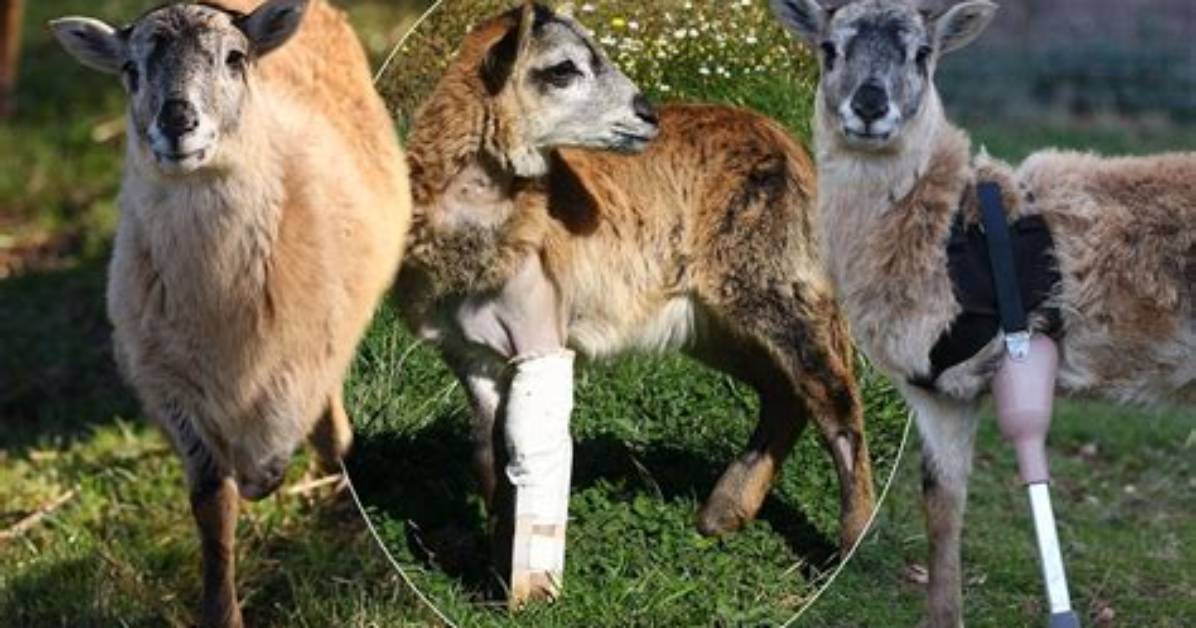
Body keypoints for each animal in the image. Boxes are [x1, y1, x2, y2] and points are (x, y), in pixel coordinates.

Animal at [50, 1, 409, 625]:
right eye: (130, 71)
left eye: (235, 59)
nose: (176, 120)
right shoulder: (169, 387)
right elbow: (211, 504)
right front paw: (221, 611)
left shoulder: (300, 363)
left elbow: (278, 450)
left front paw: (279, 478)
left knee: (327, 417)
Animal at [397, 2, 875, 605]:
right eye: (563, 70)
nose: (647, 114)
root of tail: (789, 143)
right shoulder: (470, 352)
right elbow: (491, 454)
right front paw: (497, 571)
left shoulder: (539, 329)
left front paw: (530, 590)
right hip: (710, 320)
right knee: (785, 391)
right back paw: (722, 515)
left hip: (777, 279)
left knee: (835, 397)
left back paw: (852, 543)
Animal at [771, 0, 1196, 624]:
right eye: (829, 48)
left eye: (921, 54)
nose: (871, 105)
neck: (940, 231)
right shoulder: (943, 392)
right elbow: (941, 505)